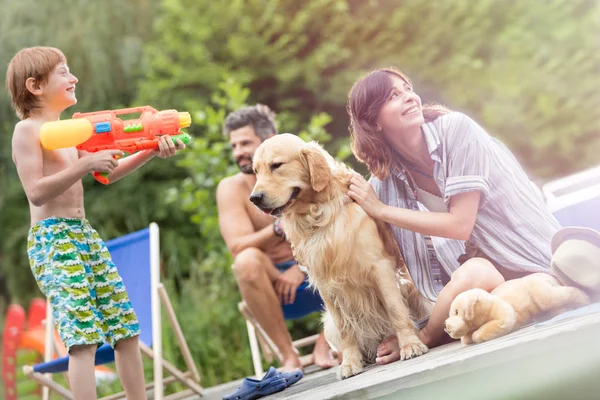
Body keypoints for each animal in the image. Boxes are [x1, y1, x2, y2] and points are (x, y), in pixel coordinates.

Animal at [248, 134, 432, 378]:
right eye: (255, 171)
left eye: (276, 165)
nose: (254, 198)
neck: (317, 214)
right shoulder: (326, 284)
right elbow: (346, 328)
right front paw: (350, 363)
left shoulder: (379, 266)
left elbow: (395, 309)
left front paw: (410, 345)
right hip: (328, 325)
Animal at [446, 274, 592, 346]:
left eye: (456, 311)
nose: (445, 326)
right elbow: (465, 338)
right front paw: (468, 336)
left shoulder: (496, 307)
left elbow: (504, 320)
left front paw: (476, 335)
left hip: (536, 289)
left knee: (553, 297)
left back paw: (584, 299)